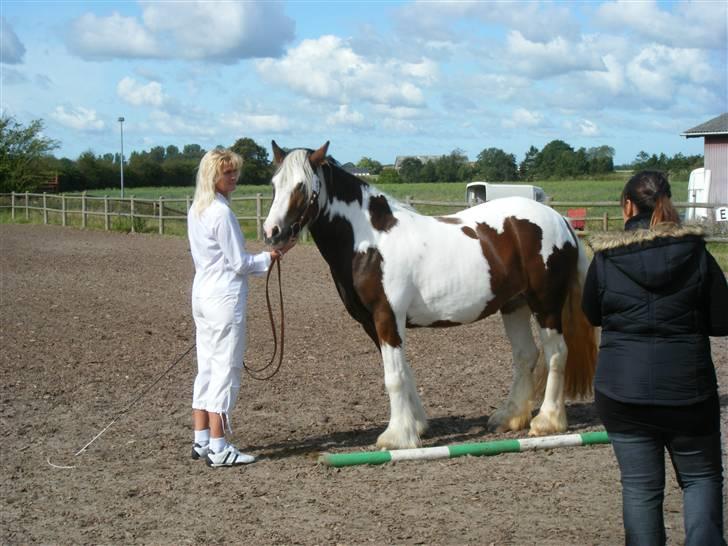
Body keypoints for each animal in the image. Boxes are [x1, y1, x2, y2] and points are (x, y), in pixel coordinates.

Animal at [264, 141, 596, 450]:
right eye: (274, 184)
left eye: (302, 186)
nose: (272, 232)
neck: (370, 241)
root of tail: (561, 221)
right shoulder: (372, 323)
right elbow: (404, 372)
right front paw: (417, 426)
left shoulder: (387, 316)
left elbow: (394, 377)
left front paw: (396, 437)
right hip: (515, 305)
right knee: (526, 354)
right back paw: (509, 417)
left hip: (546, 304)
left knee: (556, 353)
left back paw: (547, 421)